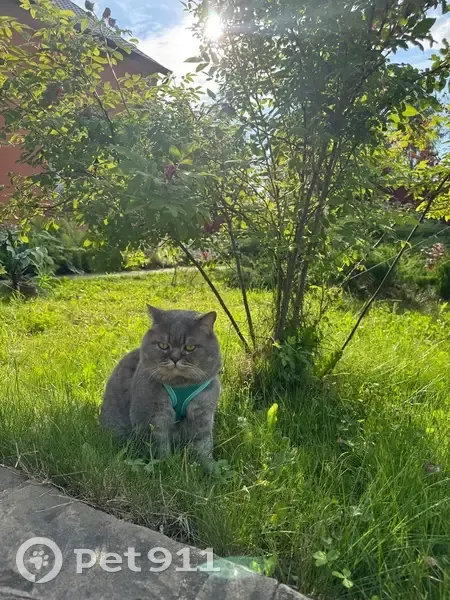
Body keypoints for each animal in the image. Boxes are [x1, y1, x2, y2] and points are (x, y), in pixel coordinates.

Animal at [100, 305, 222, 472]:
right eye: (163, 345)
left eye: (190, 347)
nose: (175, 358)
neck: (180, 384)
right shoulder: (155, 416)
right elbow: (160, 445)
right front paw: (166, 465)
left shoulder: (203, 413)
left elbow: (203, 445)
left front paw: (211, 467)